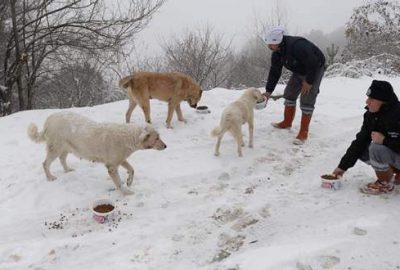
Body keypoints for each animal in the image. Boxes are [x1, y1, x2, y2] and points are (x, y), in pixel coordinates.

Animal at [27, 110, 166, 195]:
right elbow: (118, 182)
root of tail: (49, 119)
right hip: (55, 148)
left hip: (66, 148)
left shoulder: (120, 160)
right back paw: (50, 177)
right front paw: (126, 192)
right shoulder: (111, 166)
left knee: (62, 159)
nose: (166, 146)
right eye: (157, 138)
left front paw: (129, 182)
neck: (129, 137)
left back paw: (67, 170)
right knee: (45, 164)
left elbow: (132, 169)